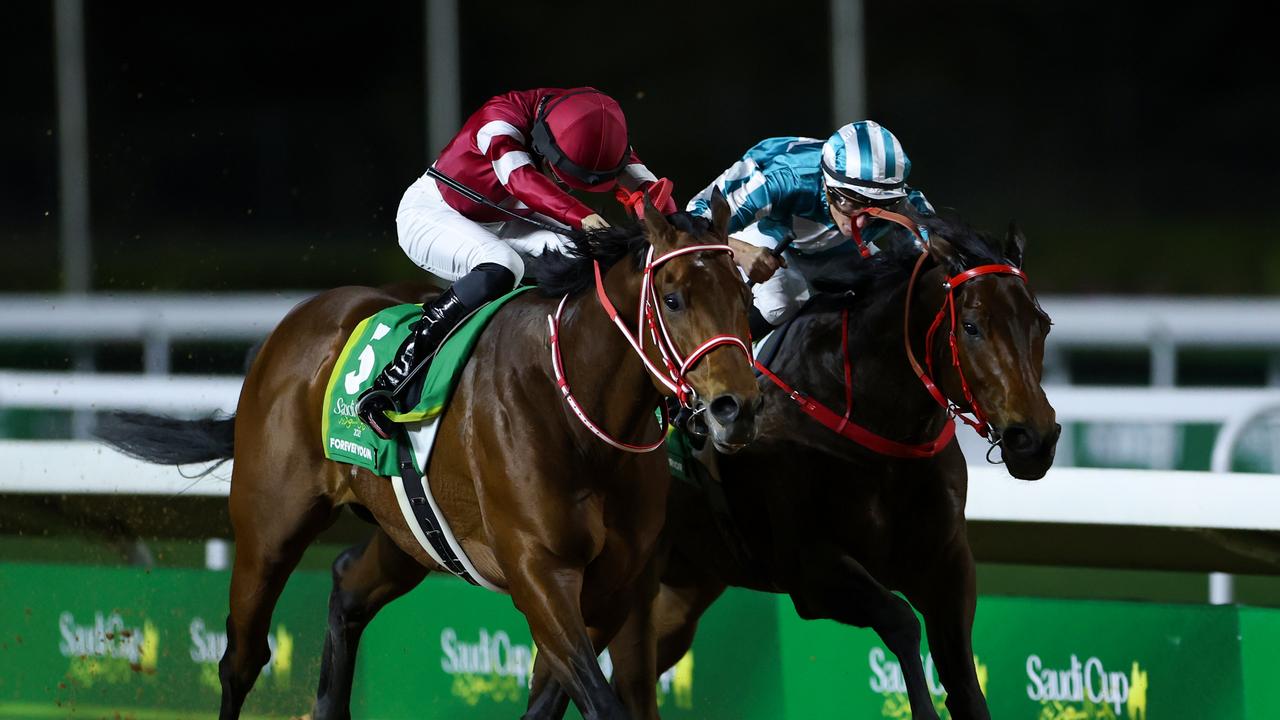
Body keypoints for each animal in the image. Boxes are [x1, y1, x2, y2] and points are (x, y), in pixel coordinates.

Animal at [102, 197, 757, 717]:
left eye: (744, 296)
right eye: (672, 298)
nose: (737, 408)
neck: (581, 417)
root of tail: (290, 328)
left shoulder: (612, 589)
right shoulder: (540, 574)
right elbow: (600, 702)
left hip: (409, 533)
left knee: (347, 587)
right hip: (269, 526)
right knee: (240, 657)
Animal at [529, 210, 1059, 712]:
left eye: (1042, 322)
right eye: (971, 327)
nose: (1035, 438)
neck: (869, 422)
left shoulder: (947, 564)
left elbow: (966, 686)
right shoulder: (811, 570)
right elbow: (902, 624)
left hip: (681, 590)